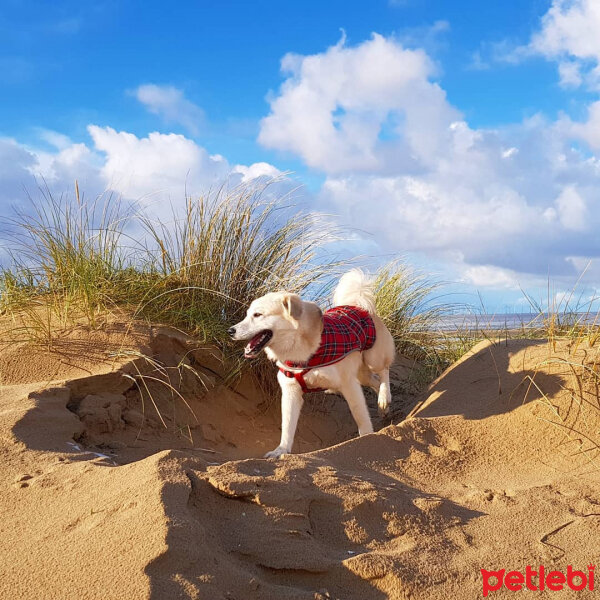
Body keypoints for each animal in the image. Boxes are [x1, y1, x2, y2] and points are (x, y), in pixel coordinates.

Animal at [229, 270, 394, 458]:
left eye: (257, 315)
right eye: (247, 314)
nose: (230, 331)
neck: (301, 349)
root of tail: (358, 306)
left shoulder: (349, 385)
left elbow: (361, 417)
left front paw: (367, 440)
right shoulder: (291, 392)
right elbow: (287, 427)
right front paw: (281, 451)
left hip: (373, 359)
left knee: (384, 371)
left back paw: (384, 397)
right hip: (361, 374)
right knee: (375, 381)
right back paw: (384, 407)